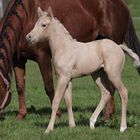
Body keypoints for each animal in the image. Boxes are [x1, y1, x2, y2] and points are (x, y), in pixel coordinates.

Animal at [0, 0, 140, 120]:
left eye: (43, 25)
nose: (29, 37)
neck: (26, 17)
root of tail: (122, 5)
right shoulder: (18, 60)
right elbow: (20, 87)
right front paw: (21, 115)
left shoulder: (43, 57)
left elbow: (49, 87)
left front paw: (57, 114)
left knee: (113, 87)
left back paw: (107, 115)